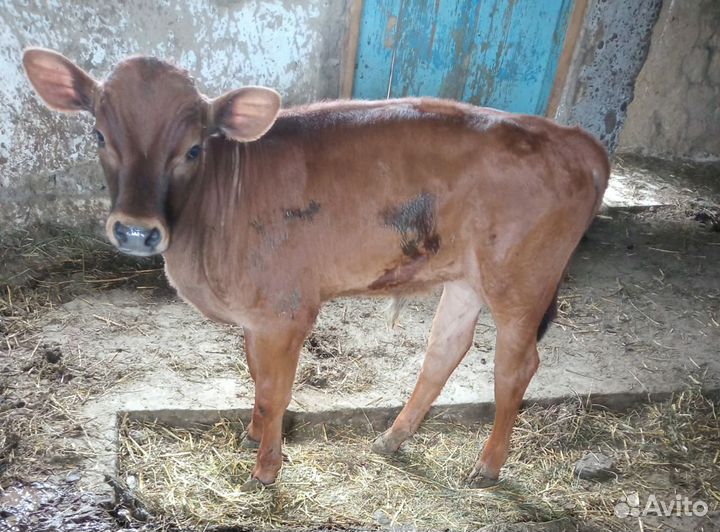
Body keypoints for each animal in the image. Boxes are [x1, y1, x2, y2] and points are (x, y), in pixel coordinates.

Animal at [22, 48, 609, 491]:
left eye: (192, 149)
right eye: (100, 136)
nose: (136, 230)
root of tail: (575, 138)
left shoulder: (287, 312)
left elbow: (277, 390)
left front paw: (266, 469)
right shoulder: (257, 317)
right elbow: (257, 379)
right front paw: (253, 434)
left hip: (520, 283)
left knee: (516, 367)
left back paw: (486, 465)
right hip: (465, 279)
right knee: (445, 349)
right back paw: (392, 438)